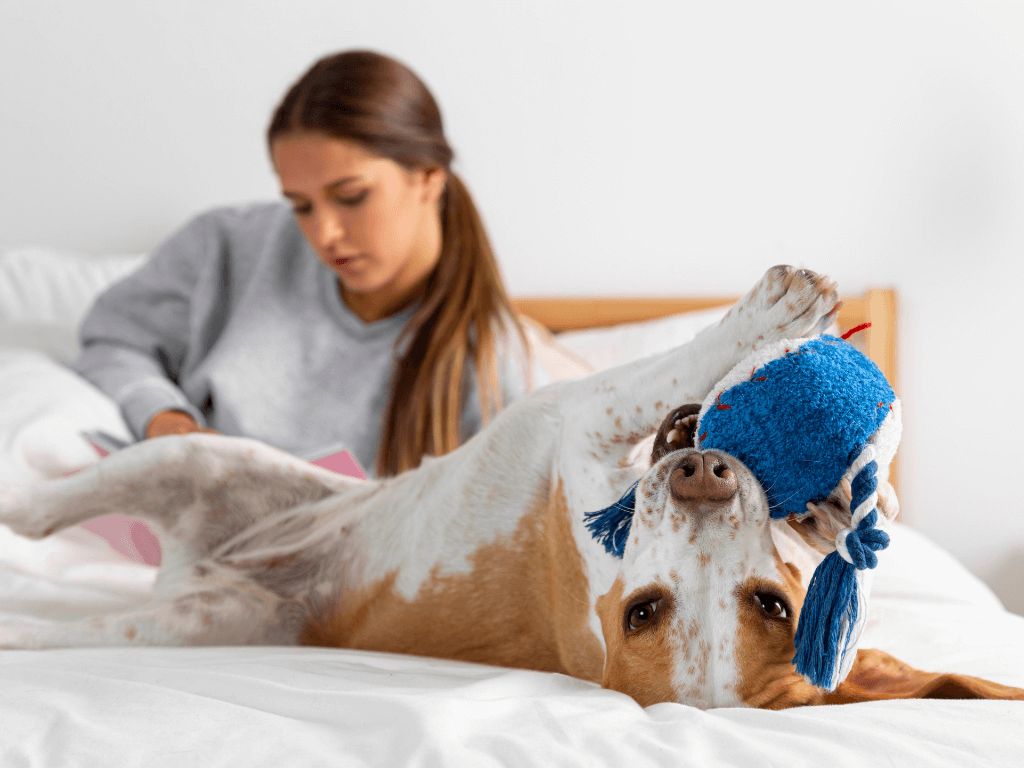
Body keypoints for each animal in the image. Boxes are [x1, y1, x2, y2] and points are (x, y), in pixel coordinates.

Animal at [2, 266, 1024, 708]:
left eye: (768, 605)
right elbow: (673, 379)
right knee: (46, 508)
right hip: (196, 461)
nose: (701, 473)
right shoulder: (588, 424)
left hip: (190, 600)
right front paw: (843, 493)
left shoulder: (586, 429)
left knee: (42, 566)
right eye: (647, 612)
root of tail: (202, 571)